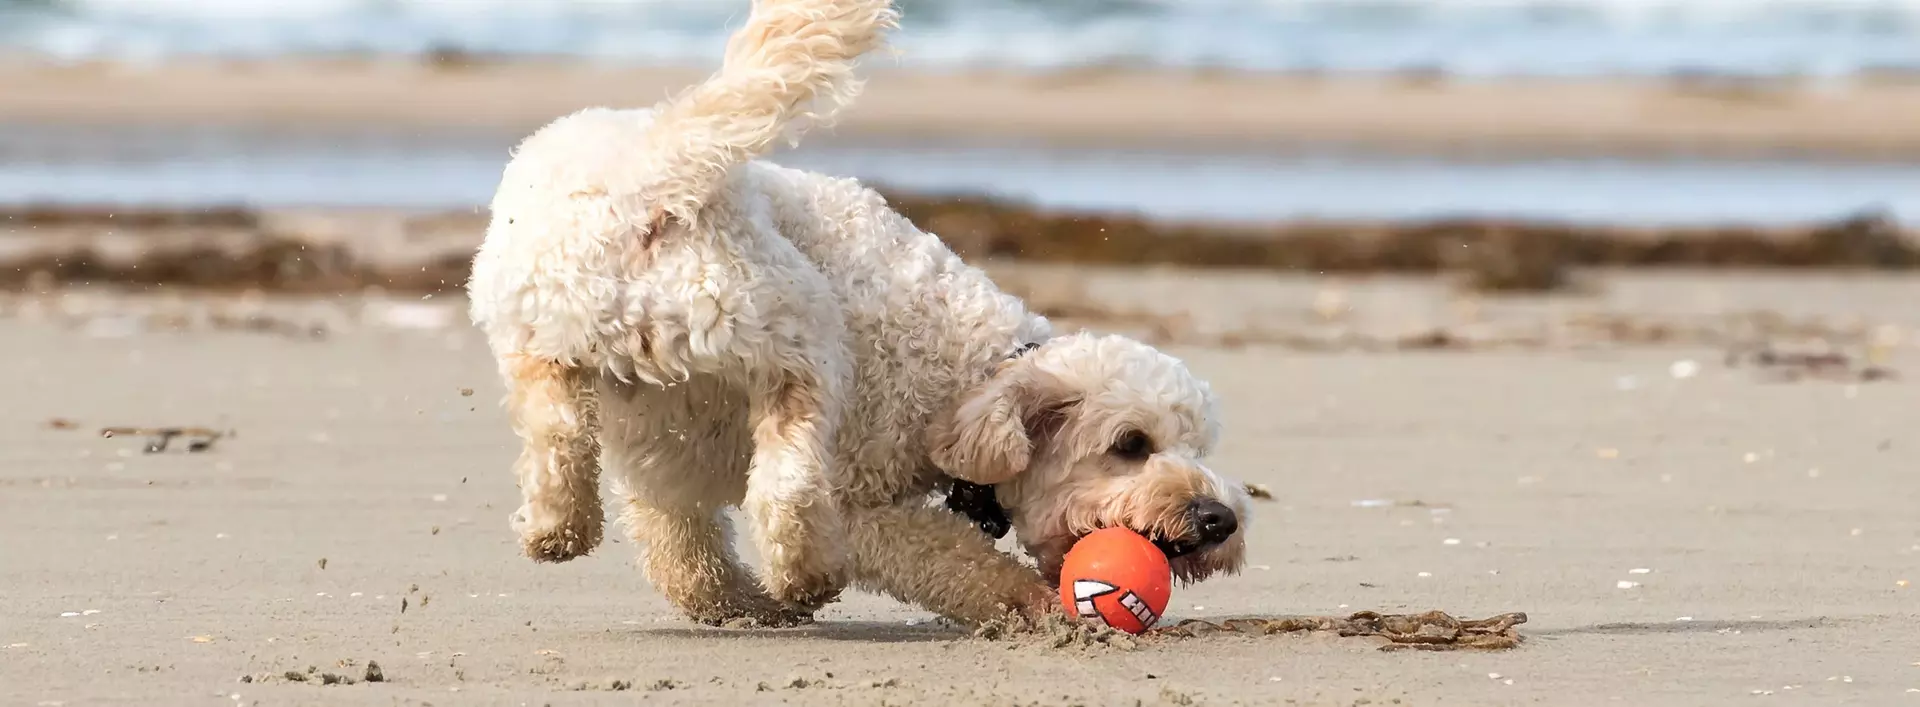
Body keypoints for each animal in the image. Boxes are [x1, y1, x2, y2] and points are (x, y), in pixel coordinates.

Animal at [462, 0, 1244, 626]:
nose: (1220, 518)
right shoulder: (865, 499)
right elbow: (951, 558)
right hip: (797, 333)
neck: (968, 376)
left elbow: (683, 553)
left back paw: (558, 526)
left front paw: (737, 605)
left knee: (558, 431)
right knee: (789, 478)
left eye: (1200, 446)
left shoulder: (660, 460)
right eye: (1131, 444)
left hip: (543, 331)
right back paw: (804, 572)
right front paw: (1031, 603)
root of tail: (652, 180)